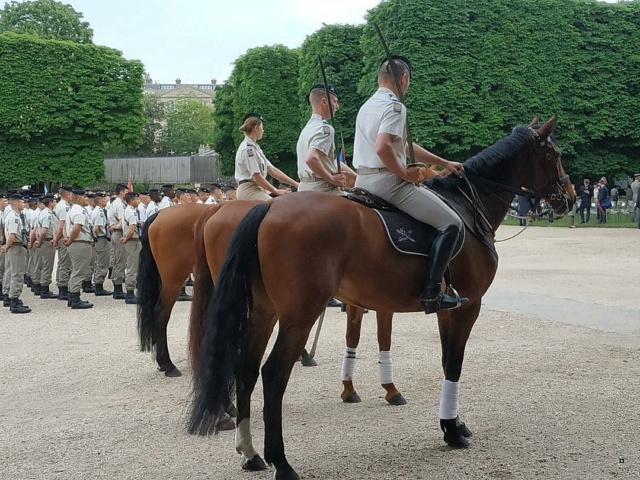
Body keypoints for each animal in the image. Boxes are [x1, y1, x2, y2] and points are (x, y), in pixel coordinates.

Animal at [186, 117, 576, 480]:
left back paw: (250, 453)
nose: (569, 198)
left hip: (263, 312)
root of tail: (266, 209)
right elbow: (453, 364)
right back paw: (280, 461)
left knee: (246, 369)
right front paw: (452, 430)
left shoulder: (423, 308)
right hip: (299, 314)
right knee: (273, 374)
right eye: (554, 155)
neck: (466, 208)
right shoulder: (466, 307)